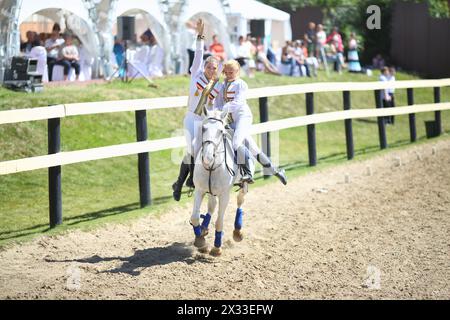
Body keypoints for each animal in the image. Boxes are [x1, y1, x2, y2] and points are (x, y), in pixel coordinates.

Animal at [190, 109, 253, 256]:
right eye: (203, 128)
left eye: (220, 131)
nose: (207, 157)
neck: (211, 167)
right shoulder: (199, 190)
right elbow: (194, 217)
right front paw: (200, 240)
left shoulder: (224, 195)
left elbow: (219, 221)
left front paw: (216, 248)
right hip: (211, 191)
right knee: (211, 206)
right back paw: (204, 228)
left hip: (243, 186)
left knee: (240, 201)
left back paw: (237, 232)